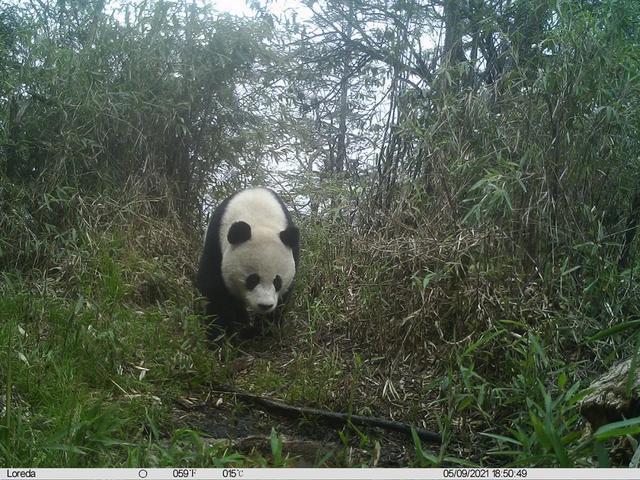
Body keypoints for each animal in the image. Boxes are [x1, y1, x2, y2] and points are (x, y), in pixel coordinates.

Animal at [196, 188, 298, 338]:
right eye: (252, 279)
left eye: (277, 281)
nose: (265, 305)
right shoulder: (215, 241)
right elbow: (214, 289)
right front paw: (222, 334)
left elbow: (283, 298)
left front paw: (262, 330)